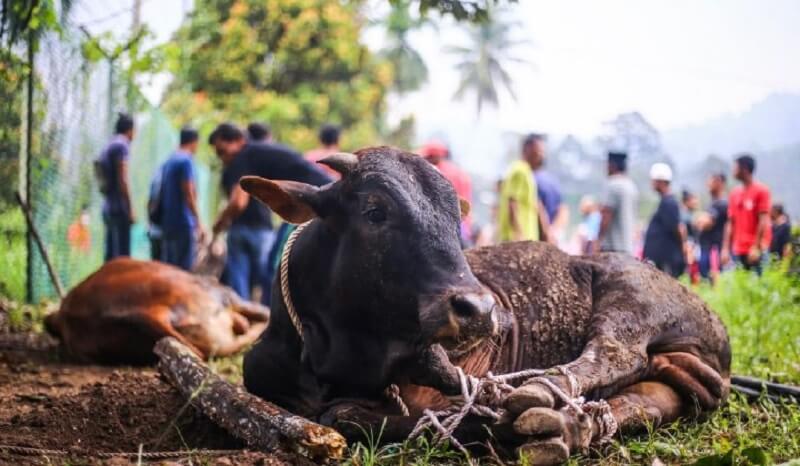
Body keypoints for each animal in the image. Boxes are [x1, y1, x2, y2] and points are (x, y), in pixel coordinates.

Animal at [242, 147, 732, 462]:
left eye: (453, 219)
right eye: (374, 210)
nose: (479, 310)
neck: (330, 351)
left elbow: (349, 414)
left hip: (629, 298)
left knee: (612, 354)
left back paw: (540, 395)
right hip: (669, 382)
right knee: (631, 403)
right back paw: (565, 427)